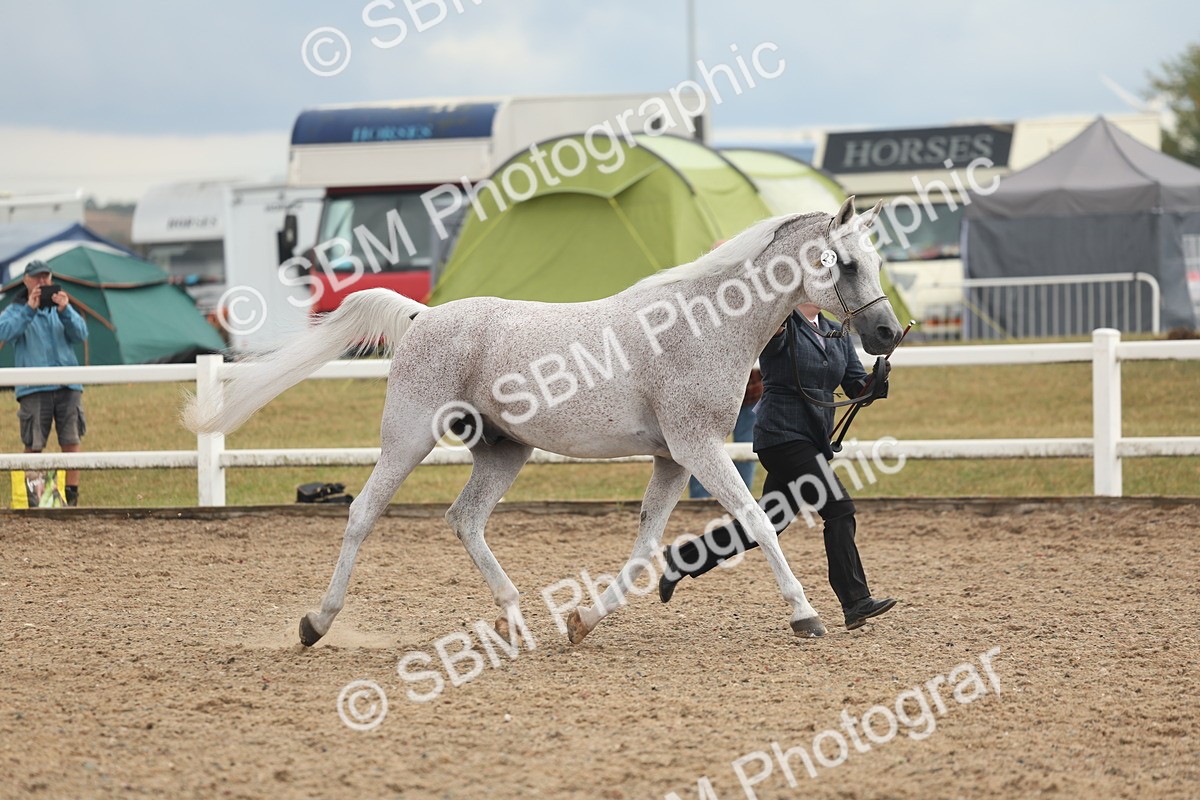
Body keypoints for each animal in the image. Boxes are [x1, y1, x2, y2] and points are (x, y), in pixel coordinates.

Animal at [183, 196, 902, 646]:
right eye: (844, 262)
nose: (888, 334)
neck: (701, 323)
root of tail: (422, 315)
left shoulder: (673, 458)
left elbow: (644, 548)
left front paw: (582, 622)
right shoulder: (698, 447)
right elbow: (754, 519)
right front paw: (806, 615)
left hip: (504, 452)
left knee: (465, 519)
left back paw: (517, 621)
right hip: (409, 436)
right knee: (363, 513)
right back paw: (316, 623)